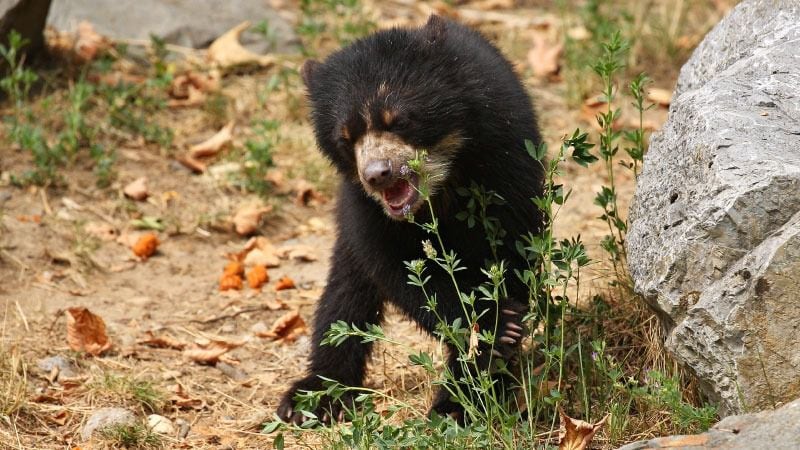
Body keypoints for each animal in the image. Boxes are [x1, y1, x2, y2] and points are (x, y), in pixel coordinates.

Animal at [277, 15, 544, 425]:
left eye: (399, 120)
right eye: (346, 137)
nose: (377, 174)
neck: (442, 184)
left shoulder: (505, 159)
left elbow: (511, 250)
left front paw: (468, 394)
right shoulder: (364, 207)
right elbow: (394, 264)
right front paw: (494, 326)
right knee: (344, 295)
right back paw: (313, 395)